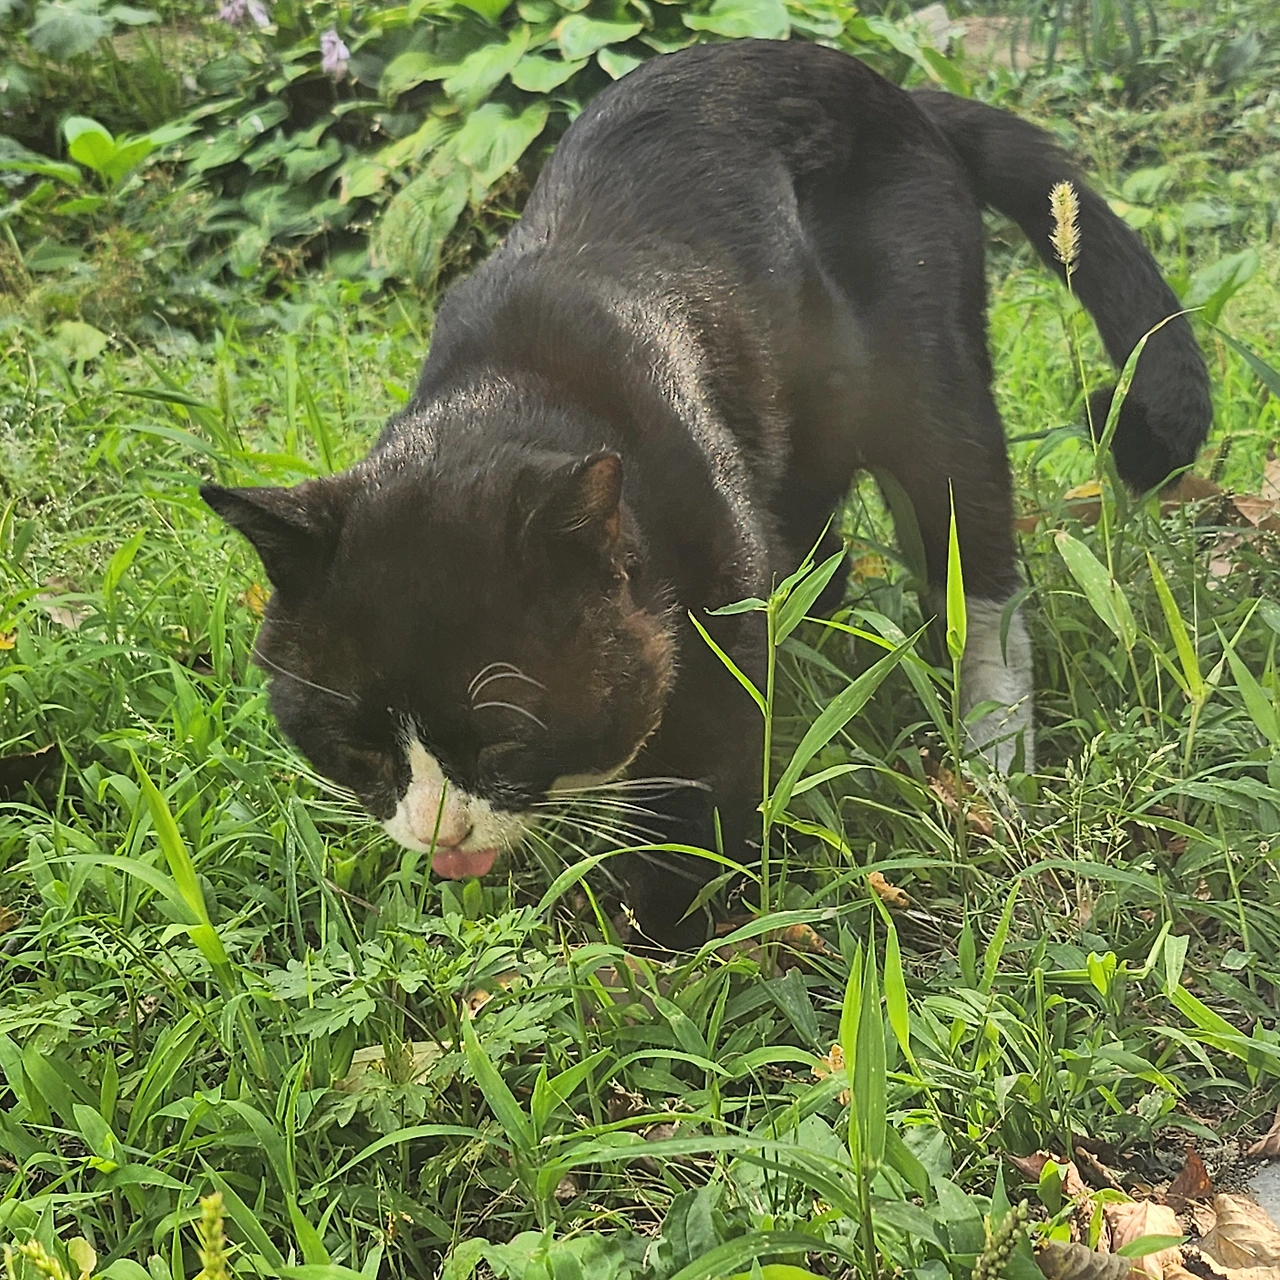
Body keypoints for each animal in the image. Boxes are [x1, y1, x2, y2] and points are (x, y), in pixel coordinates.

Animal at [203, 38, 1212, 947]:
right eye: (357, 751)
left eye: (502, 741)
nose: (440, 837)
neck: (510, 389)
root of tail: (896, 91)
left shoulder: (717, 613)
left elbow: (699, 798)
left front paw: (658, 953)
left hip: (929, 386)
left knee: (979, 568)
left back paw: (993, 761)